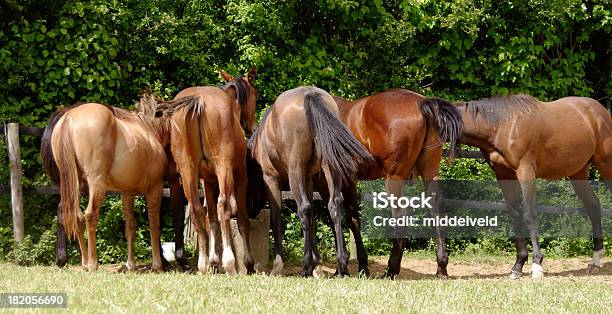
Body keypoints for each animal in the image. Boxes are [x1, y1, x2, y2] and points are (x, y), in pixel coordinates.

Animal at [159, 67, 256, 274]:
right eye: (255, 94)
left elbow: (210, 219)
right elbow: (241, 219)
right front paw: (247, 263)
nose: (251, 128)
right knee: (223, 207)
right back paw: (229, 262)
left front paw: (212, 260)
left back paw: (202, 263)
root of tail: (198, 100)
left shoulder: (208, 181)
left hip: (187, 170)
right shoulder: (239, 176)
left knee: (197, 211)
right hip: (223, 169)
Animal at [247, 86, 372, 278]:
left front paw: (279, 266)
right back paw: (341, 266)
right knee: (335, 205)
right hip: (329, 167)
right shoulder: (307, 178)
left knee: (304, 209)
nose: (250, 213)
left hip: (295, 171)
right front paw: (318, 265)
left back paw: (305, 266)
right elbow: (313, 218)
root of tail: (310, 94)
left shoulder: (272, 178)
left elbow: (277, 219)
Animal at [332, 89, 462, 278]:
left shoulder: (345, 180)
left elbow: (350, 218)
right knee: (436, 209)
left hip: (393, 178)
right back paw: (441, 266)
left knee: (401, 215)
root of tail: (421, 103)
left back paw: (391, 269)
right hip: (430, 173)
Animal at [444, 94, 612, 278]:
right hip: (578, 172)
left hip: (605, 164)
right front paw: (518, 265)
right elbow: (515, 215)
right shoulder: (504, 176)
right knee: (593, 206)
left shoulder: (526, 172)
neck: (501, 126)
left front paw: (537, 265)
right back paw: (595, 261)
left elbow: (530, 214)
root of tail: (601, 111)